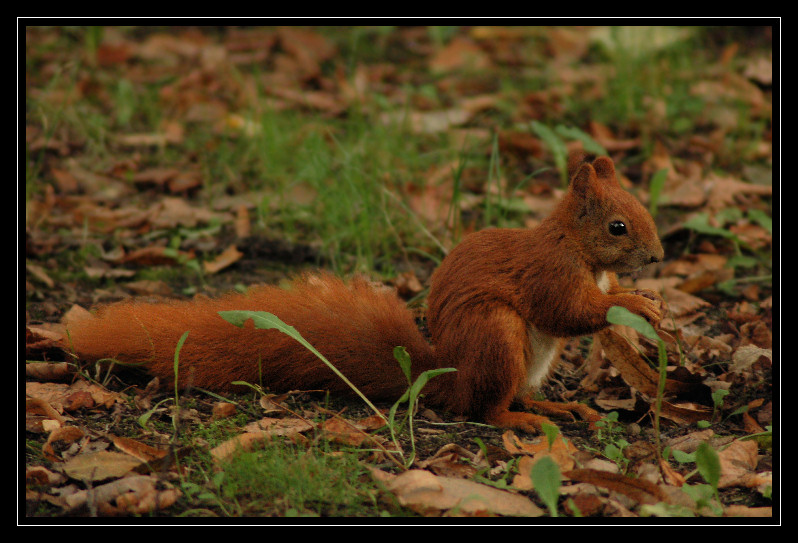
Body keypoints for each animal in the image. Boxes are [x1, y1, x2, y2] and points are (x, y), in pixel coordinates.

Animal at [62, 155, 664, 432]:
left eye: (642, 207)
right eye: (618, 227)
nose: (658, 258)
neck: (578, 247)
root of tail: (452, 376)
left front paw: (646, 305)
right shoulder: (549, 274)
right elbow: (570, 311)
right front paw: (638, 305)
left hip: (528, 360)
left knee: (518, 394)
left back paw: (557, 406)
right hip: (497, 335)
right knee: (489, 409)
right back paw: (524, 421)